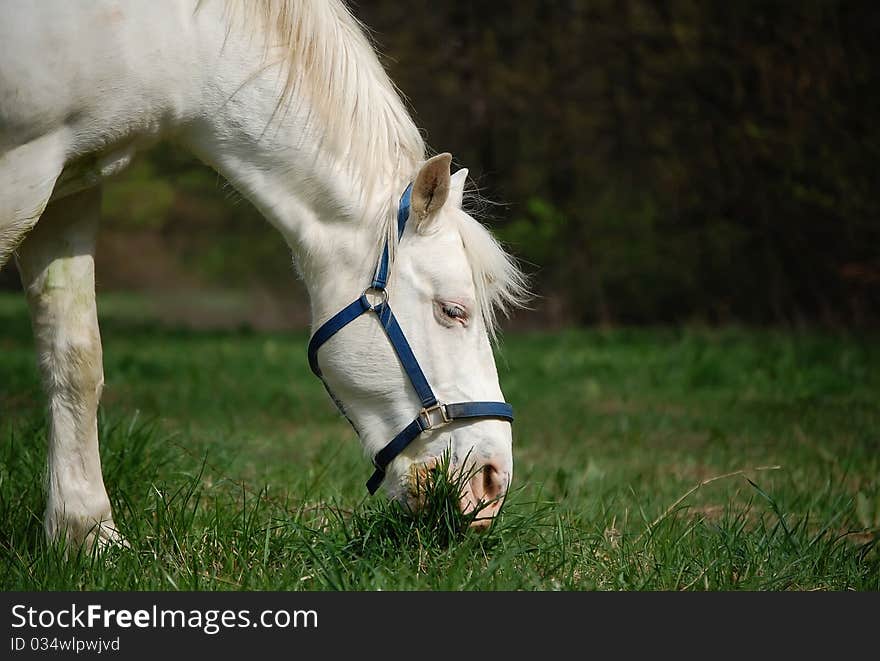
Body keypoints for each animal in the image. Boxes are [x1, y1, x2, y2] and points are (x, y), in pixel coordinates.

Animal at [0, 1, 524, 548]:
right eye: (453, 310)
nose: (492, 484)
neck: (177, 34)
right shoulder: (21, 170)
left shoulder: (74, 185)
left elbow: (76, 361)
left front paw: (86, 536)